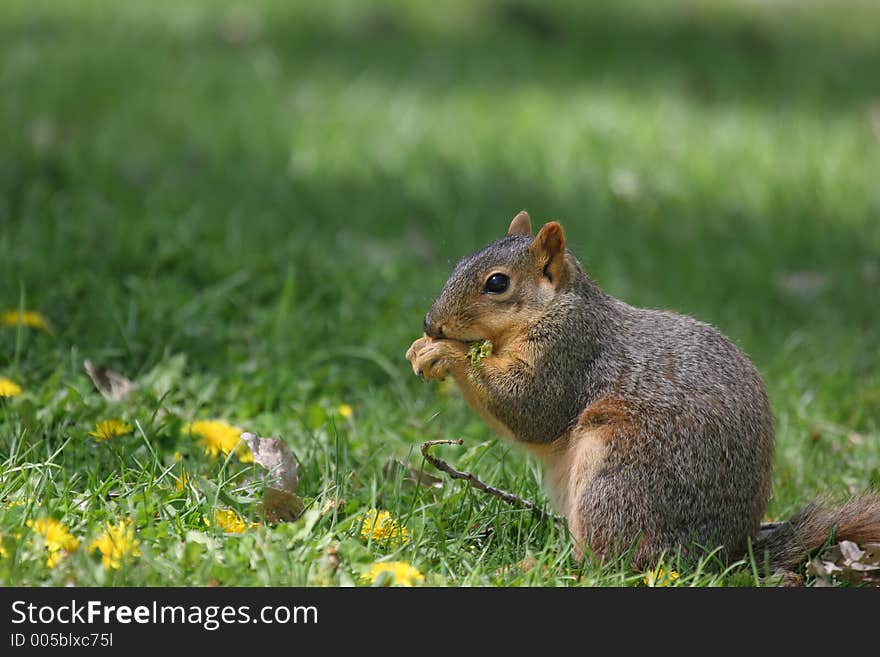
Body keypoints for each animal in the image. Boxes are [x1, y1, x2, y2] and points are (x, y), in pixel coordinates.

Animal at [406, 213, 880, 572]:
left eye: (497, 283)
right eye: (459, 263)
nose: (431, 323)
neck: (553, 308)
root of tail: (719, 554)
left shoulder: (568, 353)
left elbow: (530, 409)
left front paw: (445, 352)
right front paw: (419, 347)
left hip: (619, 479)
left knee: (613, 563)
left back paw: (538, 566)